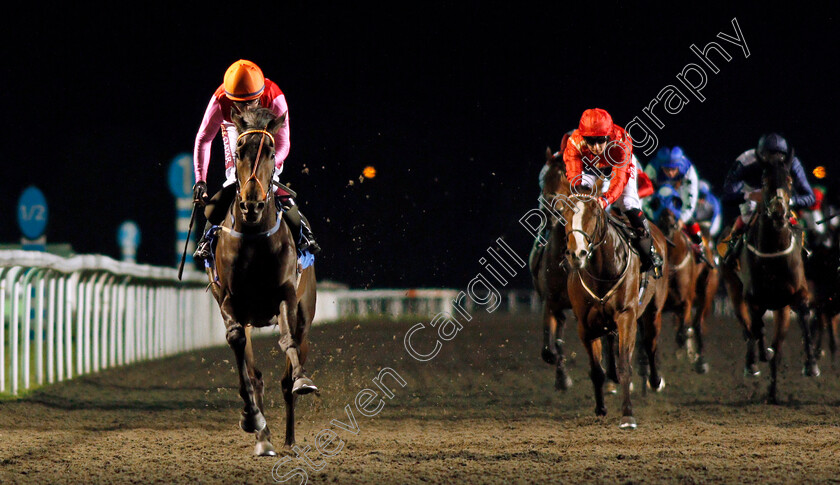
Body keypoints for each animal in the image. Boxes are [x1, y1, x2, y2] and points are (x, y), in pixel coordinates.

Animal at [208, 106, 318, 454]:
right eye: (239, 150)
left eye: (270, 151)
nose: (252, 203)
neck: (255, 236)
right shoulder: (229, 301)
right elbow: (238, 348)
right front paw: (252, 417)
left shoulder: (285, 295)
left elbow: (287, 341)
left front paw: (303, 380)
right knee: (254, 371)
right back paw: (264, 438)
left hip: (305, 312)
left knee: (290, 364)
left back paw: (289, 438)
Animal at [556, 184, 668, 428]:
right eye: (564, 214)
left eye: (594, 213)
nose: (577, 253)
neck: (601, 271)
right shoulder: (585, 325)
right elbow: (596, 370)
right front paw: (600, 408)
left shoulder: (626, 316)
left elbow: (625, 364)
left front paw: (627, 414)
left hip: (653, 310)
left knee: (651, 344)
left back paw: (656, 381)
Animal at [720, 157, 820, 402]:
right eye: (764, 180)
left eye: (790, 179)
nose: (778, 212)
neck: (773, 251)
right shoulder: (752, 297)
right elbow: (756, 327)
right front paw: (758, 356)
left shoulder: (798, 293)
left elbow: (804, 317)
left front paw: (811, 365)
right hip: (734, 290)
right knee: (748, 327)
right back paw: (753, 362)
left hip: (781, 310)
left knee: (777, 347)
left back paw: (773, 393)